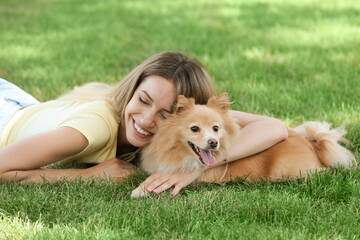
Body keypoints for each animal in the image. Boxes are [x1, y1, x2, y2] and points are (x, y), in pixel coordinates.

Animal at [131, 92, 356, 197]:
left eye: (216, 128)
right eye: (194, 129)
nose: (213, 142)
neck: (177, 152)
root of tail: (313, 144)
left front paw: (138, 191)